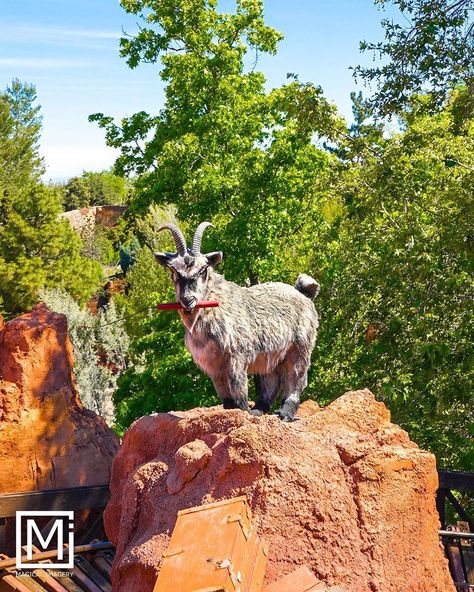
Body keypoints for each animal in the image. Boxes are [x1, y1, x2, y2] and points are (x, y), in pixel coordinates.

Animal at [154, 222, 320, 420]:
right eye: (173, 270)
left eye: (203, 269)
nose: (188, 300)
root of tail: (303, 293)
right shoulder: (213, 365)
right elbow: (226, 396)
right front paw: (230, 412)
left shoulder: (236, 357)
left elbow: (239, 390)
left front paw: (243, 412)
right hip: (270, 356)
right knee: (271, 381)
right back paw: (258, 410)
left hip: (300, 347)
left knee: (296, 379)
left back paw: (284, 413)